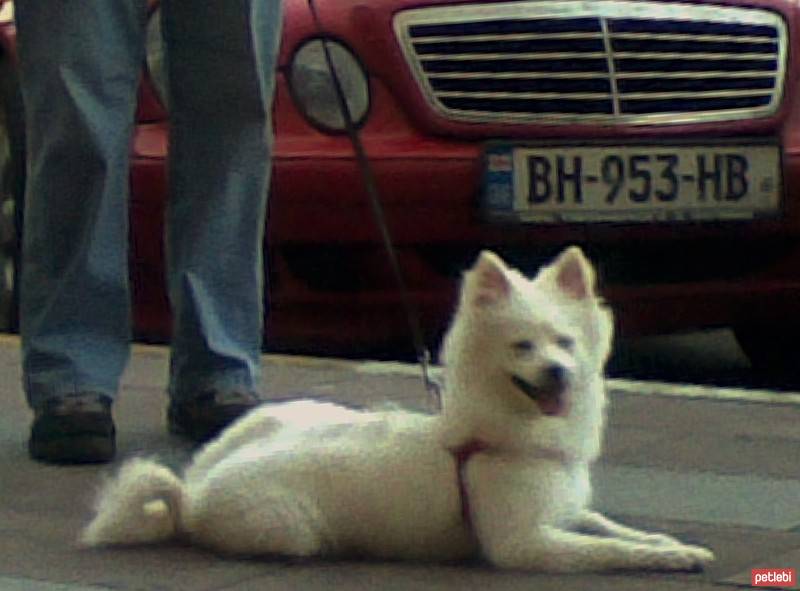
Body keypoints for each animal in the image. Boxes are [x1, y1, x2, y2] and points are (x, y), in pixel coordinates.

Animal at [83, 249, 712, 572]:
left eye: (565, 343)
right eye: (522, 347)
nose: (557, 373)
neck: (505, 434)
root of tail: (192, 490)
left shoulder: (563, 512)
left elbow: (611, 526)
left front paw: (672, 545)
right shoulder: (525, 544)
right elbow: (607, 549)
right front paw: (666, 559)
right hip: (292, 531)